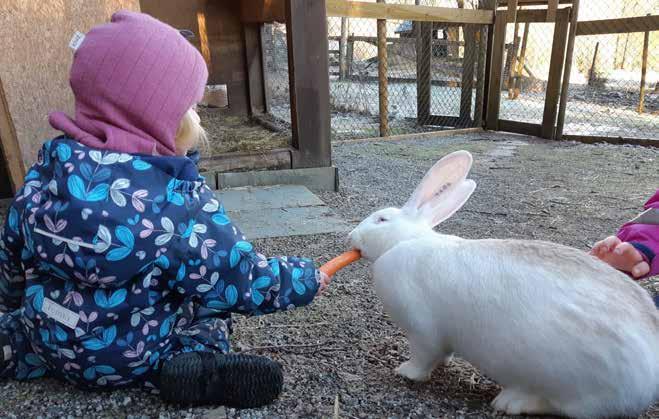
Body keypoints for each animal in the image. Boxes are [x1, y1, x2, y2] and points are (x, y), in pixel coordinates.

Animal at [350, 151, 659, 419]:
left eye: (381, 219)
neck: (404, 241)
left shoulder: (422, 331)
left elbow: (423, 359)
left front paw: (405, 371)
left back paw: (511, 401)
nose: (351, 237)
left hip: (574, 386)